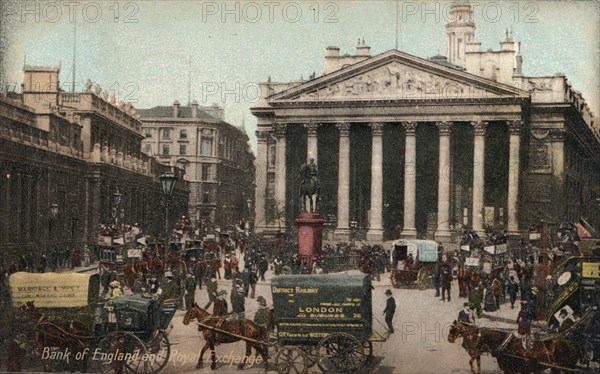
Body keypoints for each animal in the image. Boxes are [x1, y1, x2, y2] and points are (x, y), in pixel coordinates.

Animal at [448, 318, 584, 374]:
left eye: (473, 336)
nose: (449, 339)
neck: (505, 345)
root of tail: (573, 343)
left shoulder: (510, 370)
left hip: (566, 368)